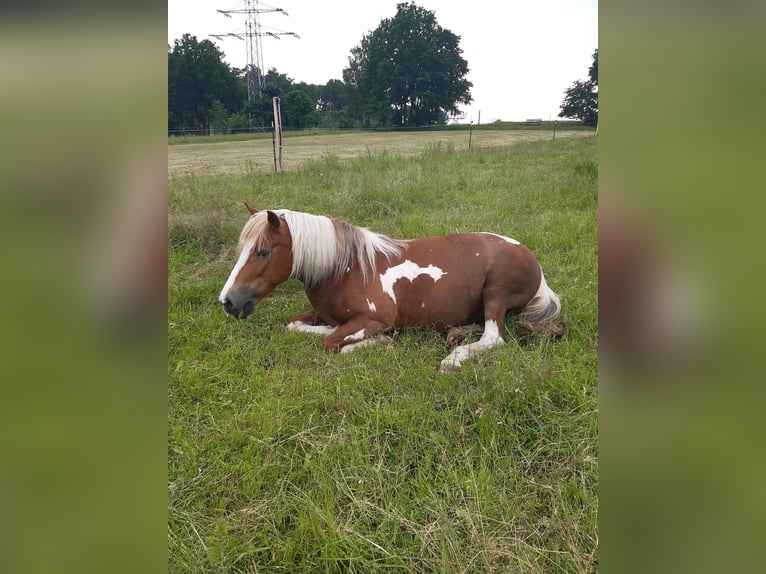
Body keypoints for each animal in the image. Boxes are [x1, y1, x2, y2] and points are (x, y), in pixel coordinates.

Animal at [216, 204, 564, 374]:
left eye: (262, 251)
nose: (228, 301)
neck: (345, 268)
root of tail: (531, 259)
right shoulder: (320, 313)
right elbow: (297, 326)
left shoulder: (374, 318)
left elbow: (333, 342)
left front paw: (379, 341)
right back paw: (455, 335)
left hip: (495, 294)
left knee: (494, 337)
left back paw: (453, 359)